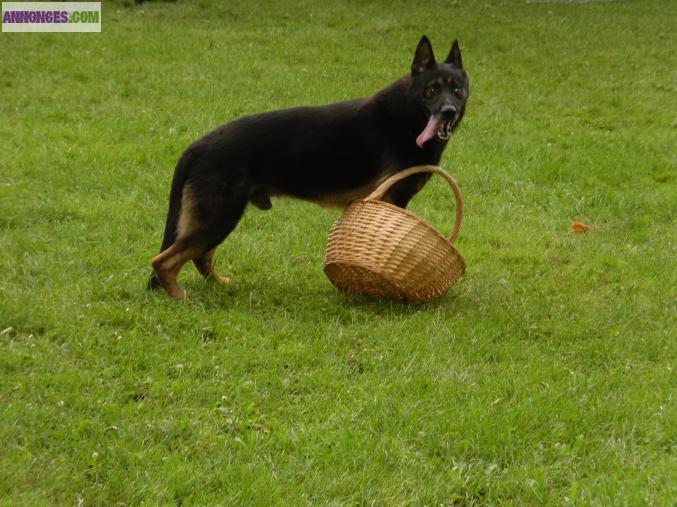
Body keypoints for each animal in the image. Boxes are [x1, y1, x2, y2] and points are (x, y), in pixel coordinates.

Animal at [149, 36, 468, 302]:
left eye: (456, 90)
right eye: (432, 90)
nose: (448, 112)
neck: (408, 115)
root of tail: (196, 146)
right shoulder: (392, 199)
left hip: (218, 219)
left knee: (199, 258)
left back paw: (220, 284)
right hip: (217, 217)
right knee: (164, 261)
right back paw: (179, 298)